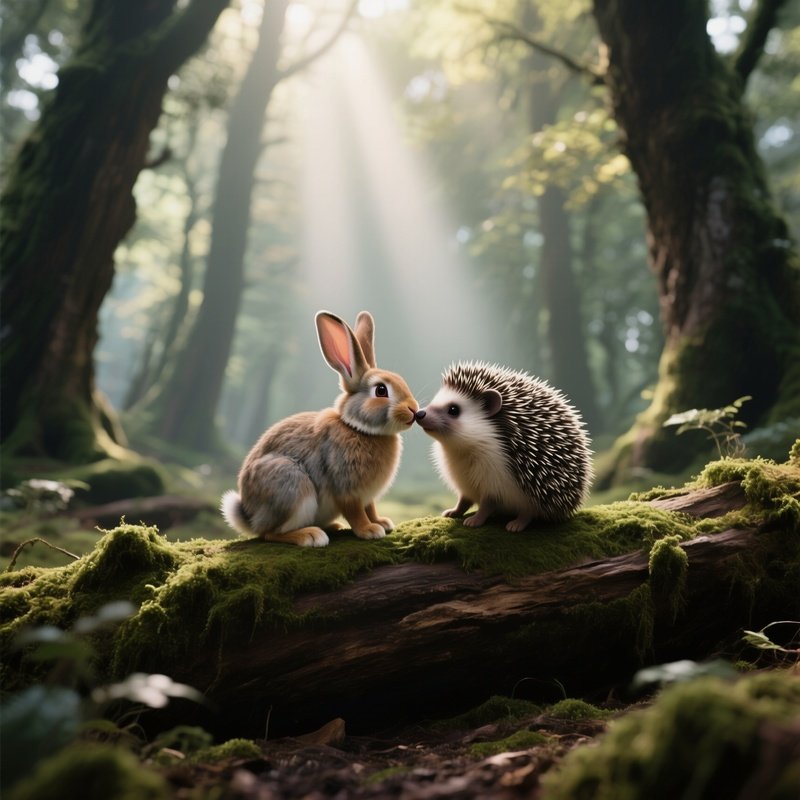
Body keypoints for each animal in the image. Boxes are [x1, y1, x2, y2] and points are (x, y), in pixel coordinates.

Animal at [221, 310, 419, 547]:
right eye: (381, 390)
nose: (414, 410)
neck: (358, 428)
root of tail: (249, 517)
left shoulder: (366, 496)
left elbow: (370, 508)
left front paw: (381, 522)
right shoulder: (346, 489)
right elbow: (355, 513)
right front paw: (369, 530)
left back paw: (332, 526)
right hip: (291, 485)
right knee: (270, 533)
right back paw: (310, 535)